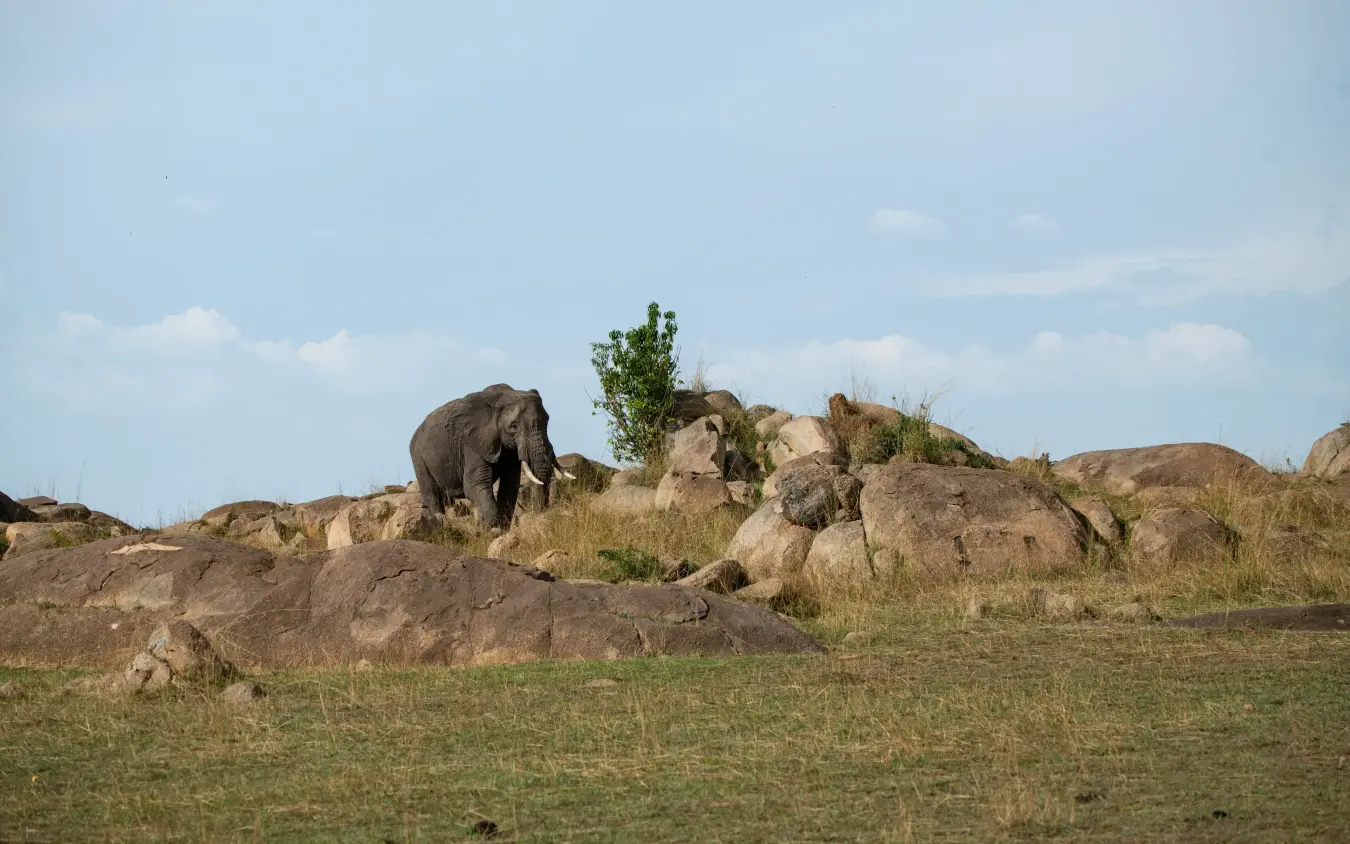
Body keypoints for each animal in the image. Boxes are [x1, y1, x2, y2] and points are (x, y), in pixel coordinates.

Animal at [409, 383, 574, 530]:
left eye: (547, 421)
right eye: (514, 426)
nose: (541, 514)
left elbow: (510, 485)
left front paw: (498, 528)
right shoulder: (472, 443)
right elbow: (474, 484)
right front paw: (490, 530)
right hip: (419, 459)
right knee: (432, 494)